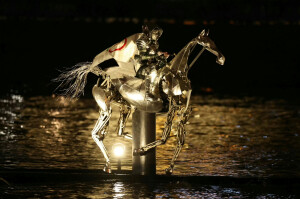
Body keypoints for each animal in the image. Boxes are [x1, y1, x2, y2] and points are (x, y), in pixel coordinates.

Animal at [54, 28, 225, 173]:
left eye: (213, 40)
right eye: (207, 42)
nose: (222, 59)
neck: (176, 73)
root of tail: (102, 74)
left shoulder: (182, 110)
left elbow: (180, 140)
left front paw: (169, 168)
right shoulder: (172, 108)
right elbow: (165, 137)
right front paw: (140, 150)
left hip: (125, 107)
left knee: (117, 132)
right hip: (106, 109)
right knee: (97, 134)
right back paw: (109, 164)